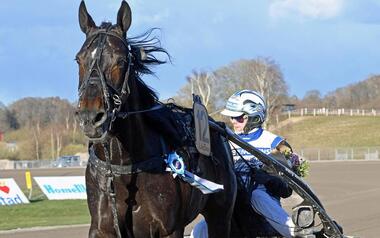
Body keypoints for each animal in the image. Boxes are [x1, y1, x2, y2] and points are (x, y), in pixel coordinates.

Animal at [75, 0, 238, 237]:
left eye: (120, 61)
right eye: (79, 59)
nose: (90, 117)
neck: (124, 166)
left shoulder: (169, 229)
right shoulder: (101, 228)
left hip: (220, 214)